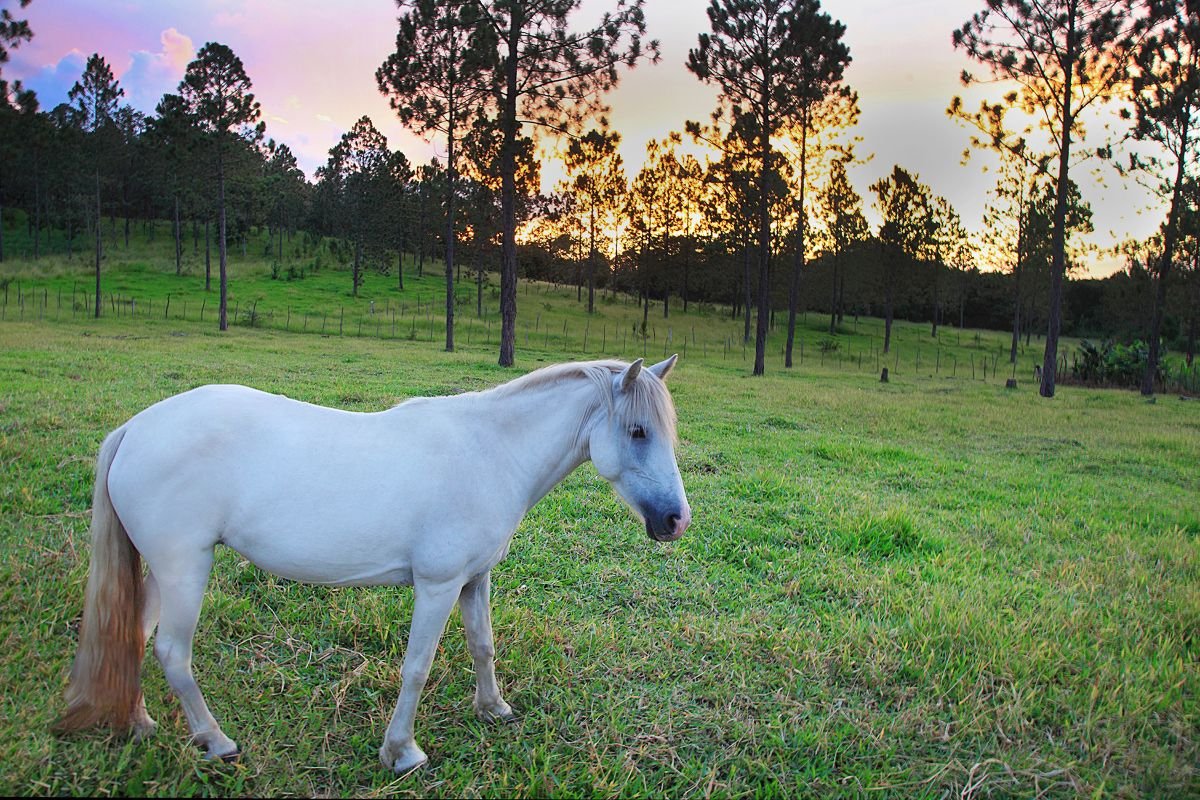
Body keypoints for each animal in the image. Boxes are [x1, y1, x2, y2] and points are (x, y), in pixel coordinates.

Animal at [53, 356, 691, 775]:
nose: (675, 520)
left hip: (163, 572)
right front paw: (401, 752)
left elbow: (482, 646)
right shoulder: (436, 586)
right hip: (185, 569)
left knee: (134, 635)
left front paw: (493, 709)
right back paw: (216, 740)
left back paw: (139, 724)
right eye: (637, 431)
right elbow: (418, 667)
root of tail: (137, 427)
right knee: (172, 653)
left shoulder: (474, 580)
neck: (489, 451)